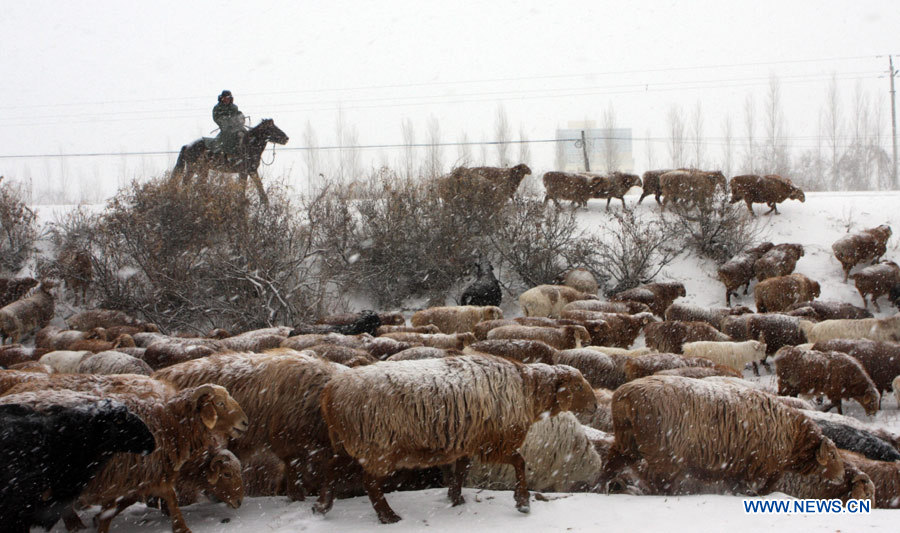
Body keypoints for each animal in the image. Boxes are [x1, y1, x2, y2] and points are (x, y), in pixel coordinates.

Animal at [314, 352, 596, 520]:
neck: (528, 390)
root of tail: (330, 392)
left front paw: (456, 498)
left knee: (331, 467)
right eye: (578, 386)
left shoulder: (468, 442)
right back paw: (388, 516)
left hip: (347, 442)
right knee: (370, 482)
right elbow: (519, 462)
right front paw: (523, 502)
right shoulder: (494, 443)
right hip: (377, 446)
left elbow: (462, 470)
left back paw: (322, 506)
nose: (594, 403)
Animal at [596, 374, 844, 494]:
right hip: (664, 454)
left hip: (627, 442)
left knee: (612, 462)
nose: (842, 475)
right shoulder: (761, 464)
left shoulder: (742, 465)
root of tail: (625, 396)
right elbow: (766, 486)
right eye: (832, 455)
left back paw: (600, 486)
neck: (794, 436)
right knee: (660, 484)